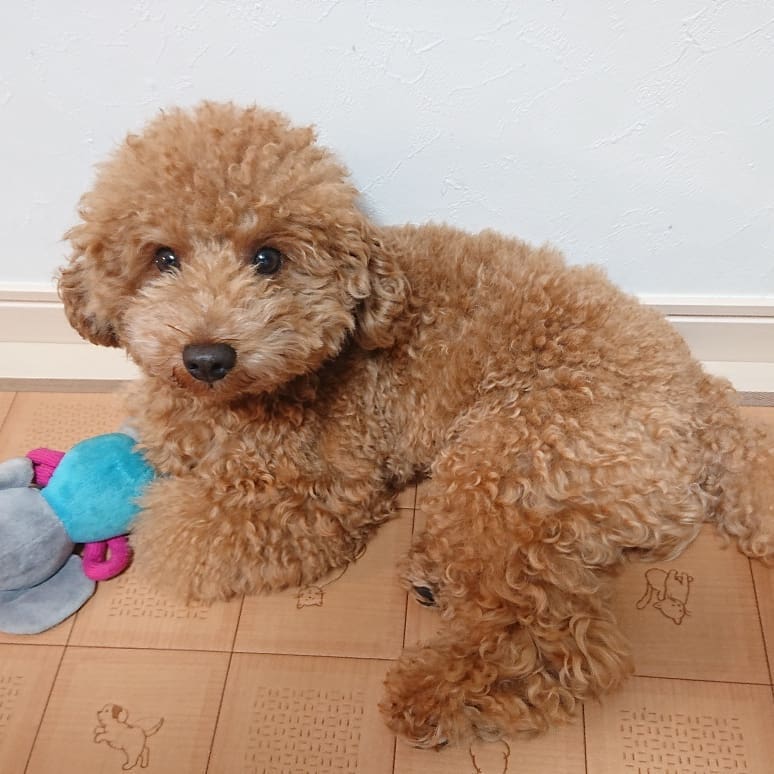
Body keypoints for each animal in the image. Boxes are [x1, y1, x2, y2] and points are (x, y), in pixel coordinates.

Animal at [59, 102, 774, 749]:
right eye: (162, 258)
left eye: (268, 258)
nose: (207, 357)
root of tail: (702, 402)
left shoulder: (324, 494)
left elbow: (180, 534)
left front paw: (155, 525)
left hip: (510, 456)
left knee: (554, 636)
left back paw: (433, 693)